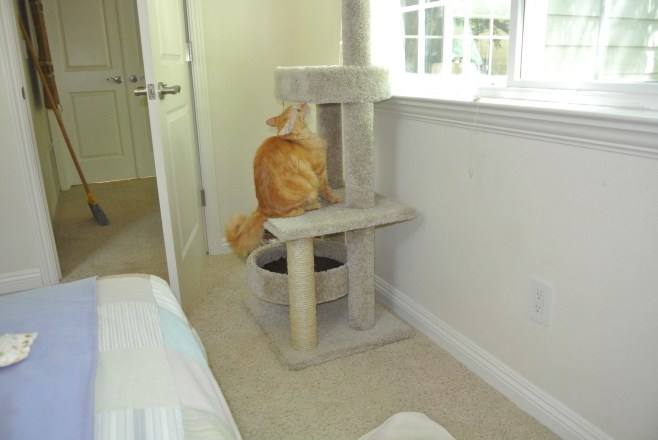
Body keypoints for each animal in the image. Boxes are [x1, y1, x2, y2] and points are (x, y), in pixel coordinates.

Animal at [225, 103, 342, 256]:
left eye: (296, 106)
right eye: (298, 109)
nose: (304, 102)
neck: (298, 138)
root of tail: (261, 208)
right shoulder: (320, 172)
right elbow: (327, 190)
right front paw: (336, 199)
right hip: (307, 187)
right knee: (297, 210)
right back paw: (313, 205)